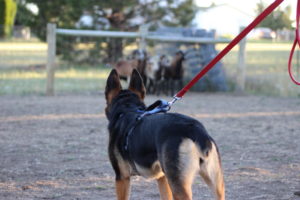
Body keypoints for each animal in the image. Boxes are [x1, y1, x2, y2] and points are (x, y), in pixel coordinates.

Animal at [104, 69, 224, 200]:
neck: (127, 109)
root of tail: (195, 130)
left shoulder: (122, 177)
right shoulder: (162, 178)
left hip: (179, 188)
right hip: (216, 184)